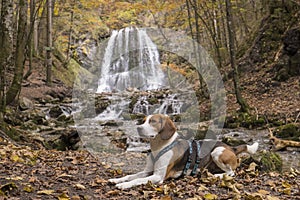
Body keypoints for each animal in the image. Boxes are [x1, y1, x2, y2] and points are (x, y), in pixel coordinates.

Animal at [109, 114, 258, 189]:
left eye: (153, 121)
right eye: (143, 121)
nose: (138, 128)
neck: (158, 147)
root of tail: (231, 147)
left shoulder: (158, 176)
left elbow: (138, 180)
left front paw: (124, 185)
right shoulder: (147, 171)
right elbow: (132, 176)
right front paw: (117, 179)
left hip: (217, 151)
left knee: (231, 172)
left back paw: (218, 176)